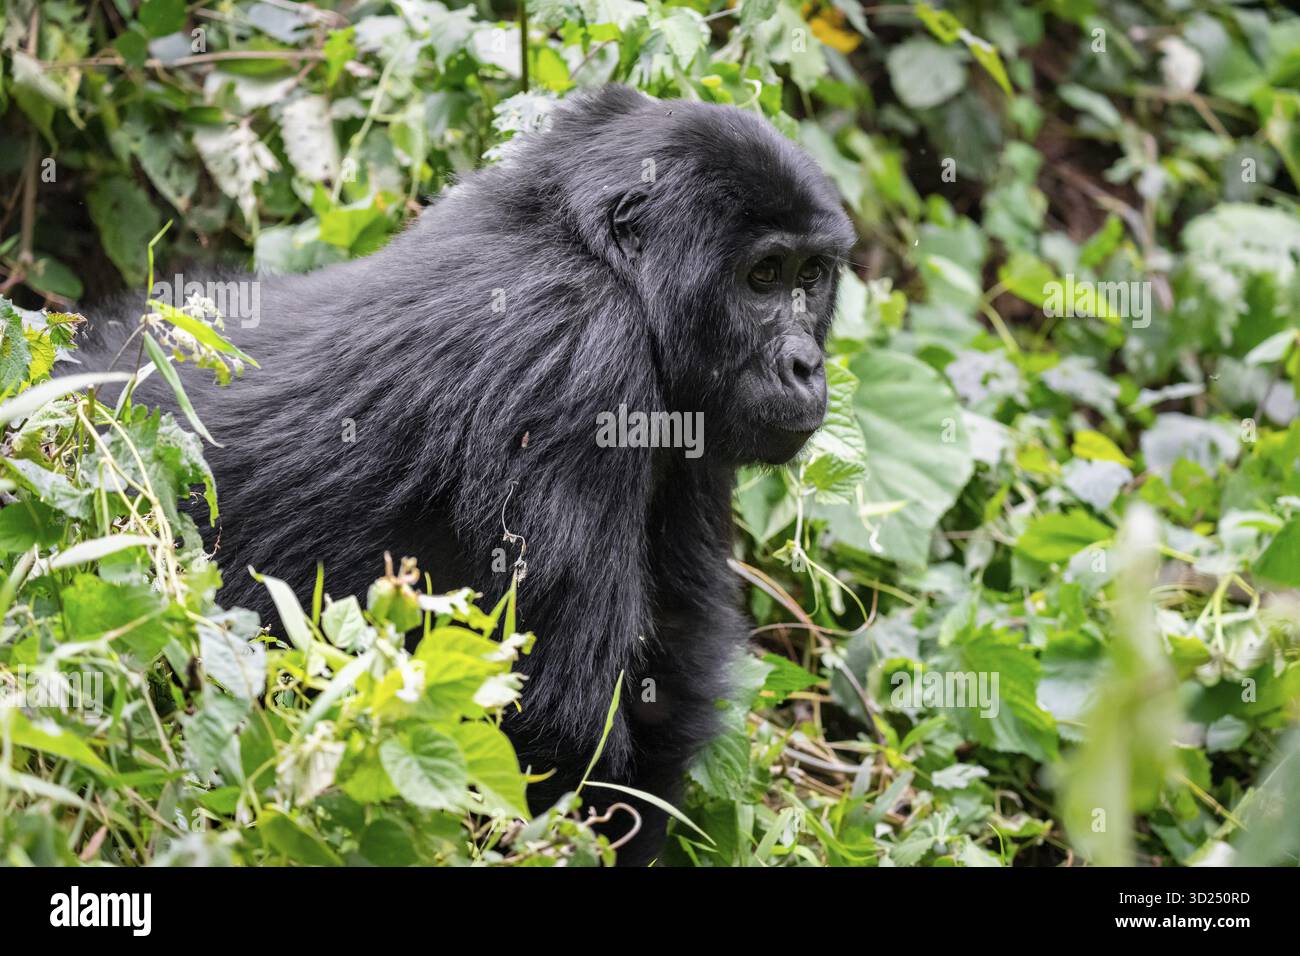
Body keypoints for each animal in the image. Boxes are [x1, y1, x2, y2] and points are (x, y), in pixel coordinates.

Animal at [80, 85, 855, 865]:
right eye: (763, 277)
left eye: (811, 277)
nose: (805, 366)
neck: (597, 256)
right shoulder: (577, 362)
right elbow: (552, 721)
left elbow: (667, 674)